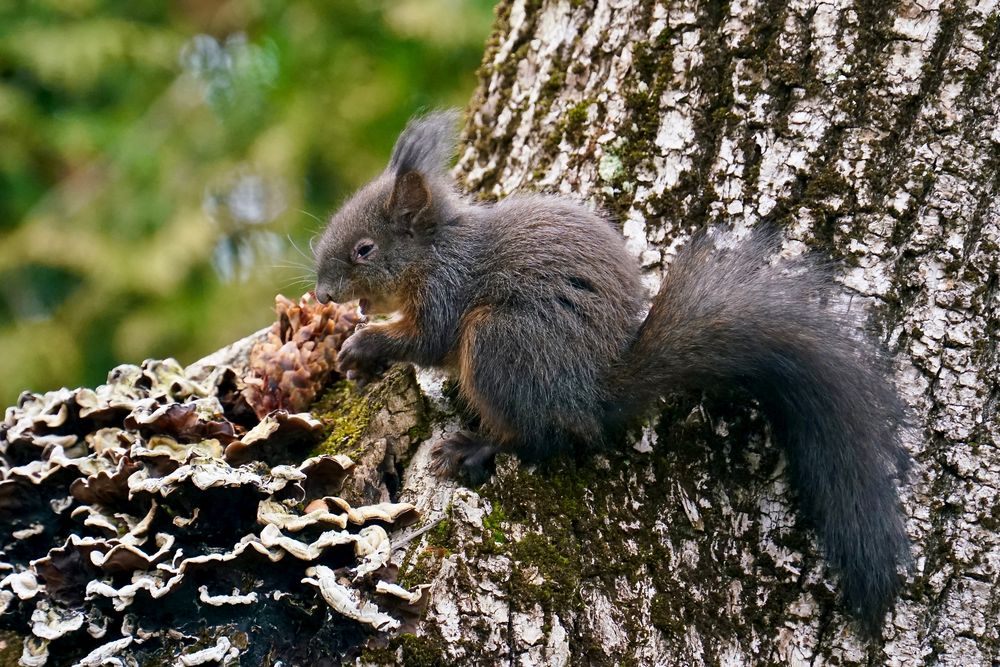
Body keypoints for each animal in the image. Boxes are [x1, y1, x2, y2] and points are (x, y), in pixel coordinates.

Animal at [314, 111, 916, 636]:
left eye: (364, 250)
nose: (320, 295)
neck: (434, 251)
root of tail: (594, 393)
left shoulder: (447, 292)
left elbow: (427, 341)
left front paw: (363, 346)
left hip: (500, 343)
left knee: (532, 435)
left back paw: (475, 447)